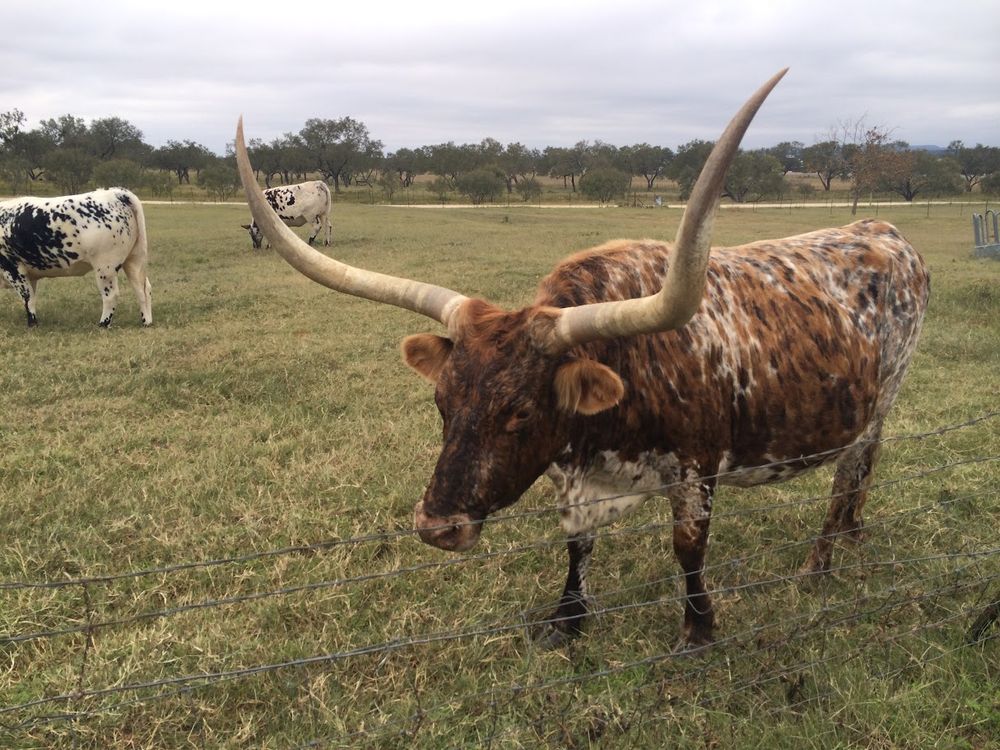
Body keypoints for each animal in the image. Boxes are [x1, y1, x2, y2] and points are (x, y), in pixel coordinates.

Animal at [0, 188, 152, 327]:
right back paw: (146, 322)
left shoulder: (13, 268)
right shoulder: (29, 274)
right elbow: (31, 296)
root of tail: (115, 192)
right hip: (133, 260)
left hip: (105, 266)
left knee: (111, 295)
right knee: (143, 289)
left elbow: (28, 298)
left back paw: (103, 324)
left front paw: (32, 324)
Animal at [235, 68, 930, 651]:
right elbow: (577, 544)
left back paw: (821, 563)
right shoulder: (572, 473)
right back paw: (852, 535)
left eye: (519, 412)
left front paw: (698, 629)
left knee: (850, 471)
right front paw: (566, 621)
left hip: (882, 397)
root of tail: (883, 230)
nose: (436, 527)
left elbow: (688, 548)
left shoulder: (697, 467)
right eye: (440, 402)